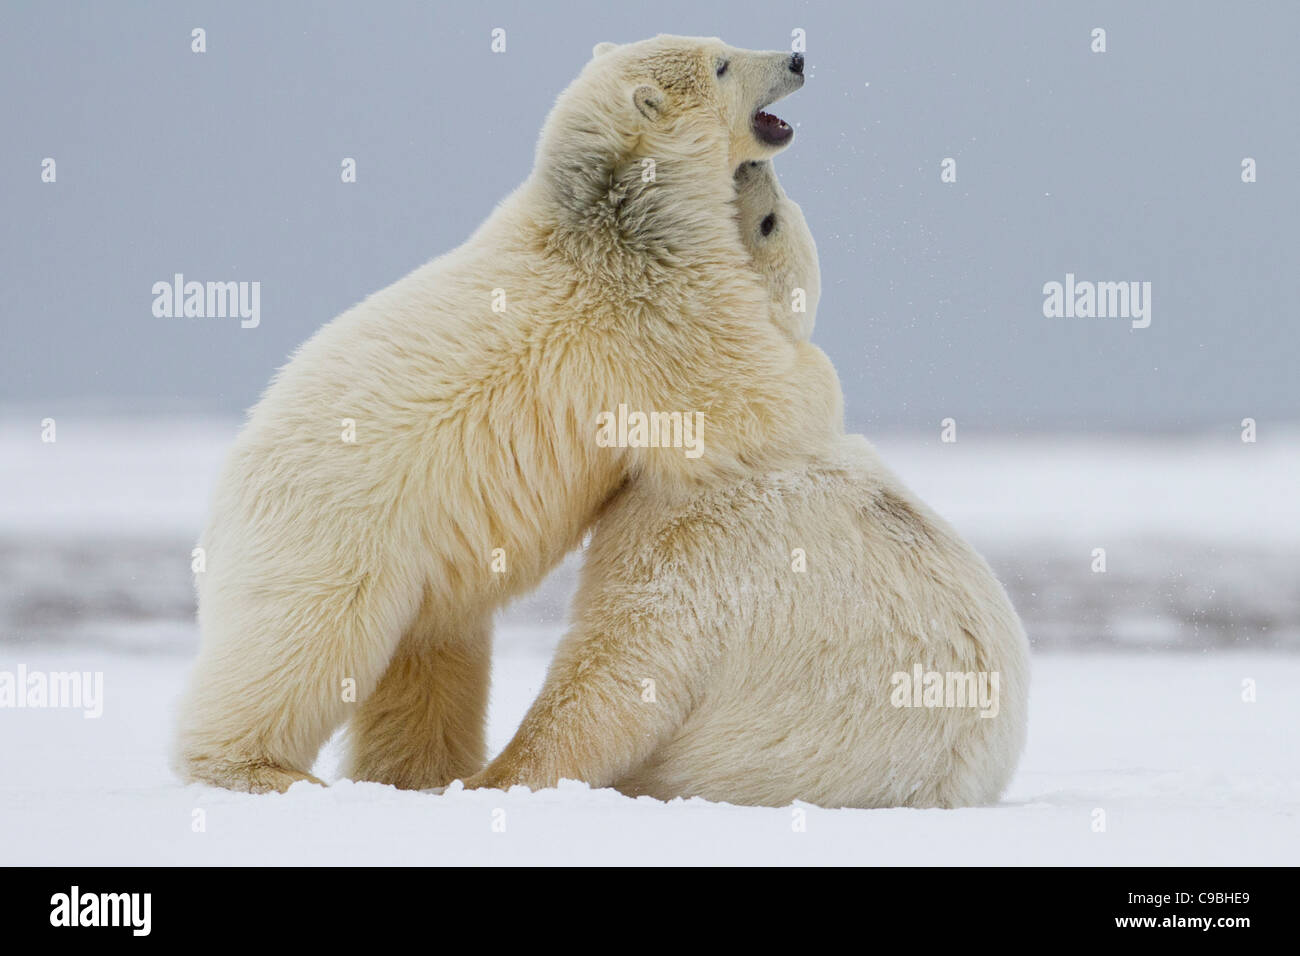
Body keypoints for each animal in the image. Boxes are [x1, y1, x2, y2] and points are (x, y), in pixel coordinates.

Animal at [172, 37, 842, 796]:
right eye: (723, 65)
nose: (796, 58)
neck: (611, 211)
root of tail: (224, 497)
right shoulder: (653, 305)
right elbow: (744, 396)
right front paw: (817, 376)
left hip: (424, 575)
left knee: (433, 659)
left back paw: (425, 772)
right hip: (334, 536)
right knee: (305, 643)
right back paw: (258, 768)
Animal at [462, 162, 1029, 806]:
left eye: (769, 222)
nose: (754, 165)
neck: (737, 450)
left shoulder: (702, 541)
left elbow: (624, 661)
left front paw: (487, 778)